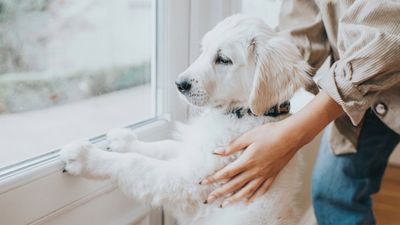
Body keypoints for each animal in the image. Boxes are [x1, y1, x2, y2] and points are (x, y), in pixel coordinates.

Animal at [60, 14, 316, 225]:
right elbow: (164, 145)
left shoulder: (190, 181)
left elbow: (135, 163)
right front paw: (124, 141)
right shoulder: (191, 155)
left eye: (223, 59)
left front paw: (84, 157)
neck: (241, 114)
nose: (179, 84)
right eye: (203, 50)